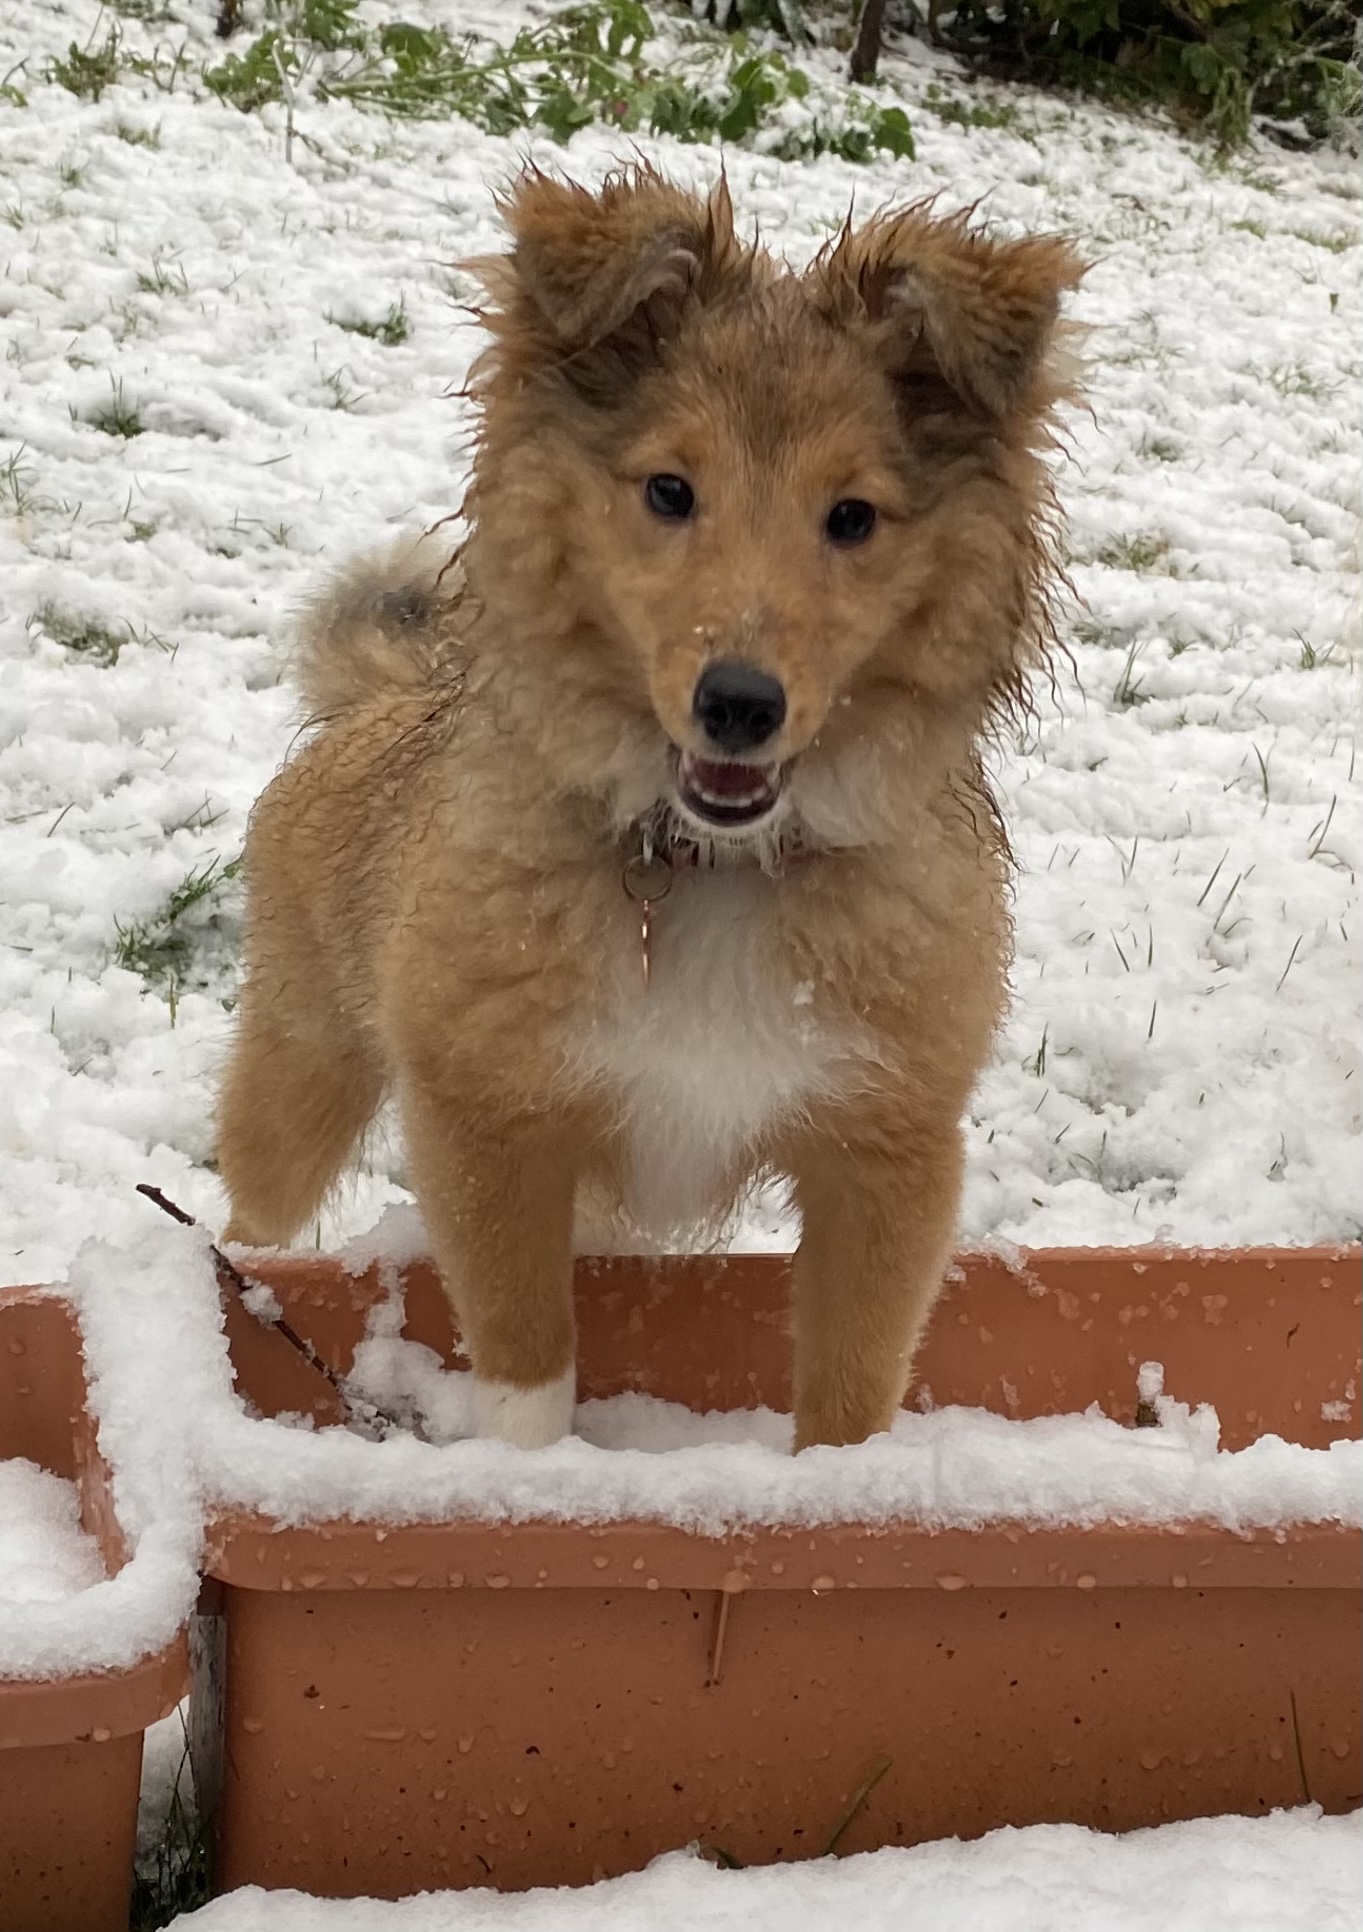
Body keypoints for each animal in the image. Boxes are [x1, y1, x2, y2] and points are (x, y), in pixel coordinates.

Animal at [218, 167, 1081, 1452]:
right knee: (256, 1208)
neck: (712, 866)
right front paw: (534, 1478)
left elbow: (851, 1385)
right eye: (669, 491)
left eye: (853, 516)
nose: (739, 706)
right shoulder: (490, 1119)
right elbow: (525, 1358)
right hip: (301, 1059)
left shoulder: (888, 1151)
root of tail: (387, 698)